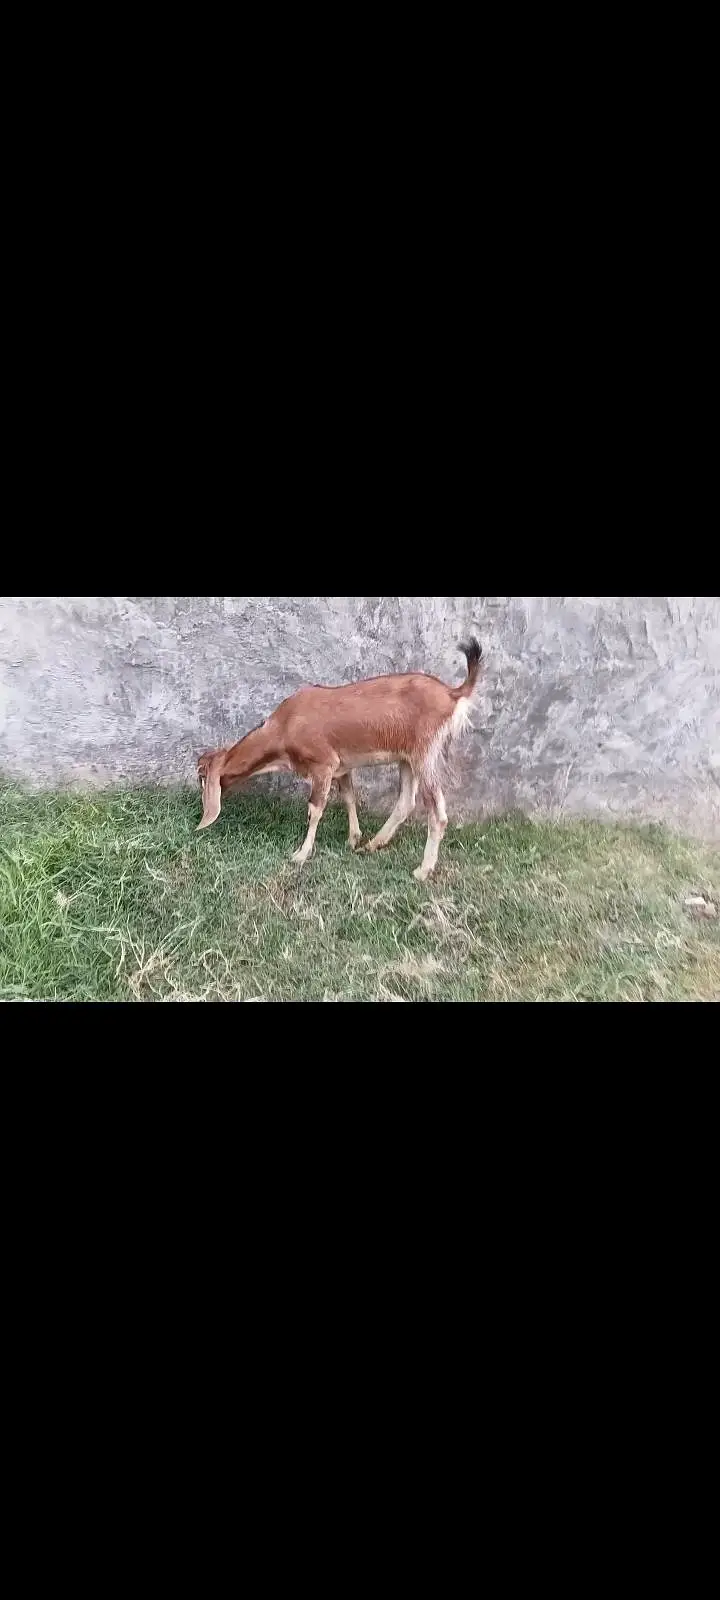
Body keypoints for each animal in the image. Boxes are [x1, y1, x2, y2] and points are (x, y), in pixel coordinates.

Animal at [196, 638, 482, 882]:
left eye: (201, 775)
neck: (283, 726)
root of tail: (453, 694)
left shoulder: (323, 764)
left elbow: (315, 809)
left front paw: (300, 855)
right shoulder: (342, 767)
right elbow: (349, 797)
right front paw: (354, 839)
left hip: (426, 753)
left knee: (437, 812)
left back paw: (422, 870)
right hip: (407, 759)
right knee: (405, 802)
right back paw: (372, 845)